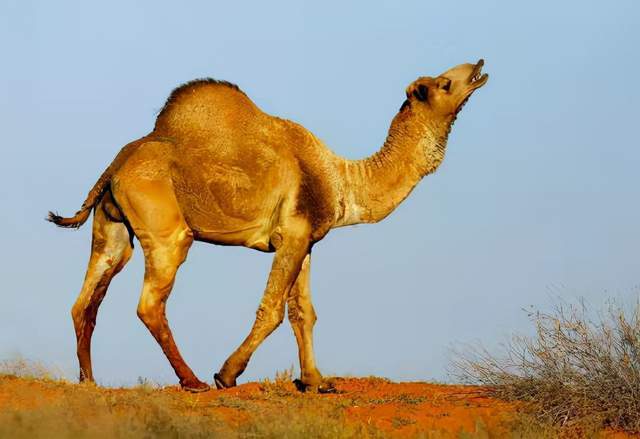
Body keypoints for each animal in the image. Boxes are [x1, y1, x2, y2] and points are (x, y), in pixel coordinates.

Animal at [48, 60, 490, 394]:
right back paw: (193, 381)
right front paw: (227, 374)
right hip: (166, 232)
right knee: (149, 304)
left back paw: (89, 381)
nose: (479, 67)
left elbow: (304, 313)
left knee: (85, 301)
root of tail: (116, 166)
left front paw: (316, 382)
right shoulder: (292, 234)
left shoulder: (304, 240)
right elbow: (272, 310)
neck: (342, 180)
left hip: (111, 229)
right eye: (443, 83)